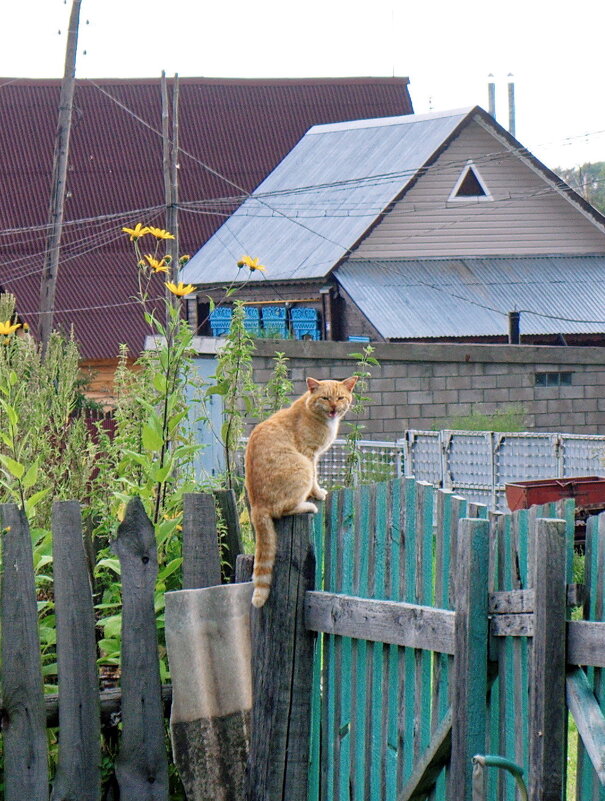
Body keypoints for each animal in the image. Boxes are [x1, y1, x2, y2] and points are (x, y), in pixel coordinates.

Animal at [243, 376, 356, 608]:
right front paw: (318, 493)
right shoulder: (309, 454)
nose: (334, 408)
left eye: (340, 398)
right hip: (301, 466)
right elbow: (315, 478)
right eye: (325, 398)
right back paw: (308, 505)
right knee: (283, 510)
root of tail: (257, 505)